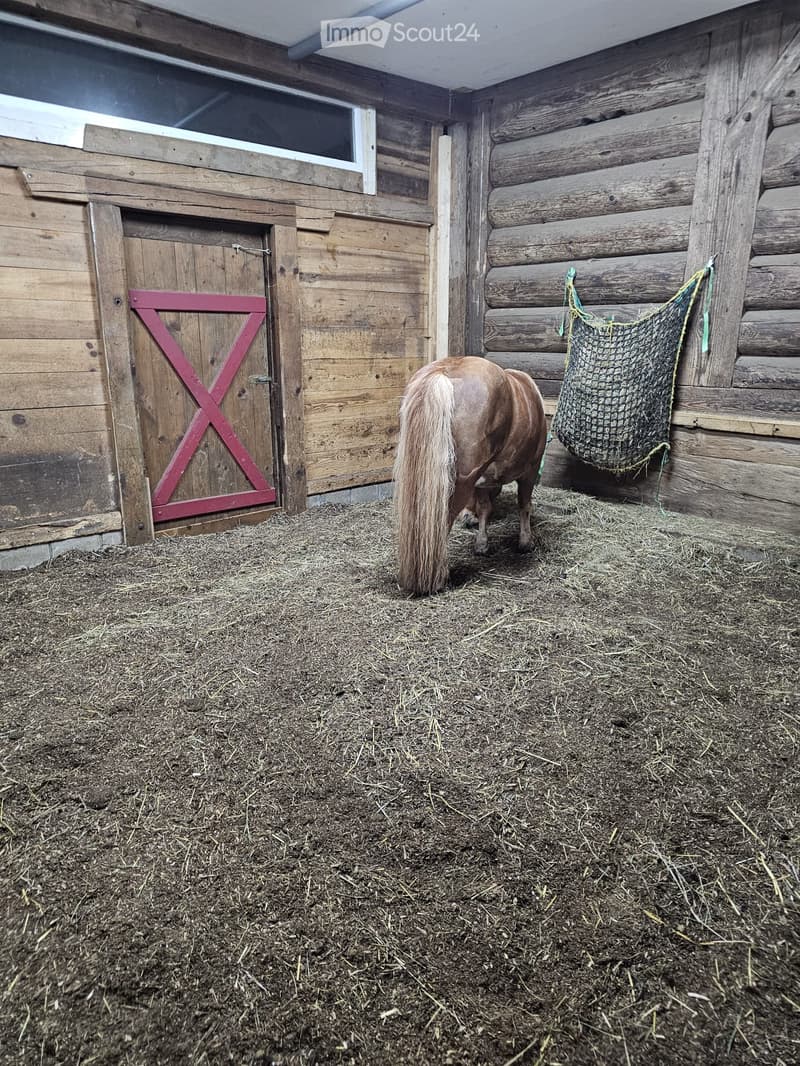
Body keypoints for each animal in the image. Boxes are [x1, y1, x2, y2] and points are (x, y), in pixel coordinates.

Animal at [393, 356, 548, 595]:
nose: (468, 519)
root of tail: (445, 371)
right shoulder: (530, 470)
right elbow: (524, 505)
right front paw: (525, 542)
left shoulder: (482, 483)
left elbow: (485, 508)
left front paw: (482, 543)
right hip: (459, 483)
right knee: (442, 524)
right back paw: (437, 578)